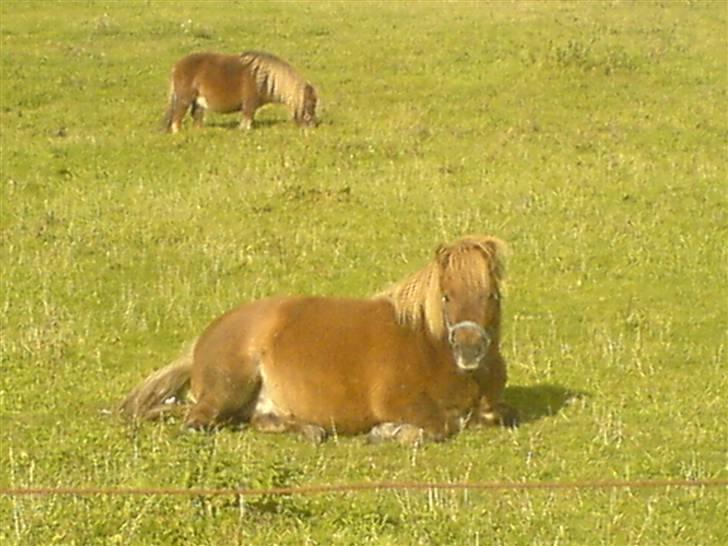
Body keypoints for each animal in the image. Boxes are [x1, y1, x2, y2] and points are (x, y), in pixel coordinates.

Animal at [121, 234, 516, 442]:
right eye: (446, 296)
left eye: (492, 295)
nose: (469, 349)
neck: (430, 346)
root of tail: (207, 337)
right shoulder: (399, 401)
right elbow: (441, 425)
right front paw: (389, 432)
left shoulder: (491, 410)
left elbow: (490, 416)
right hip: (227, 388)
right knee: (198, 420)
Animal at [165, 50, 318, 133]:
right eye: (310, 103)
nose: (313, 125)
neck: (264, 78)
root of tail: (176, 67)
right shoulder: (250, 104)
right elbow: (247, 120)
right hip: (184, 99)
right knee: (177, 117)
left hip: (197, 101)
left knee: (196, 115)